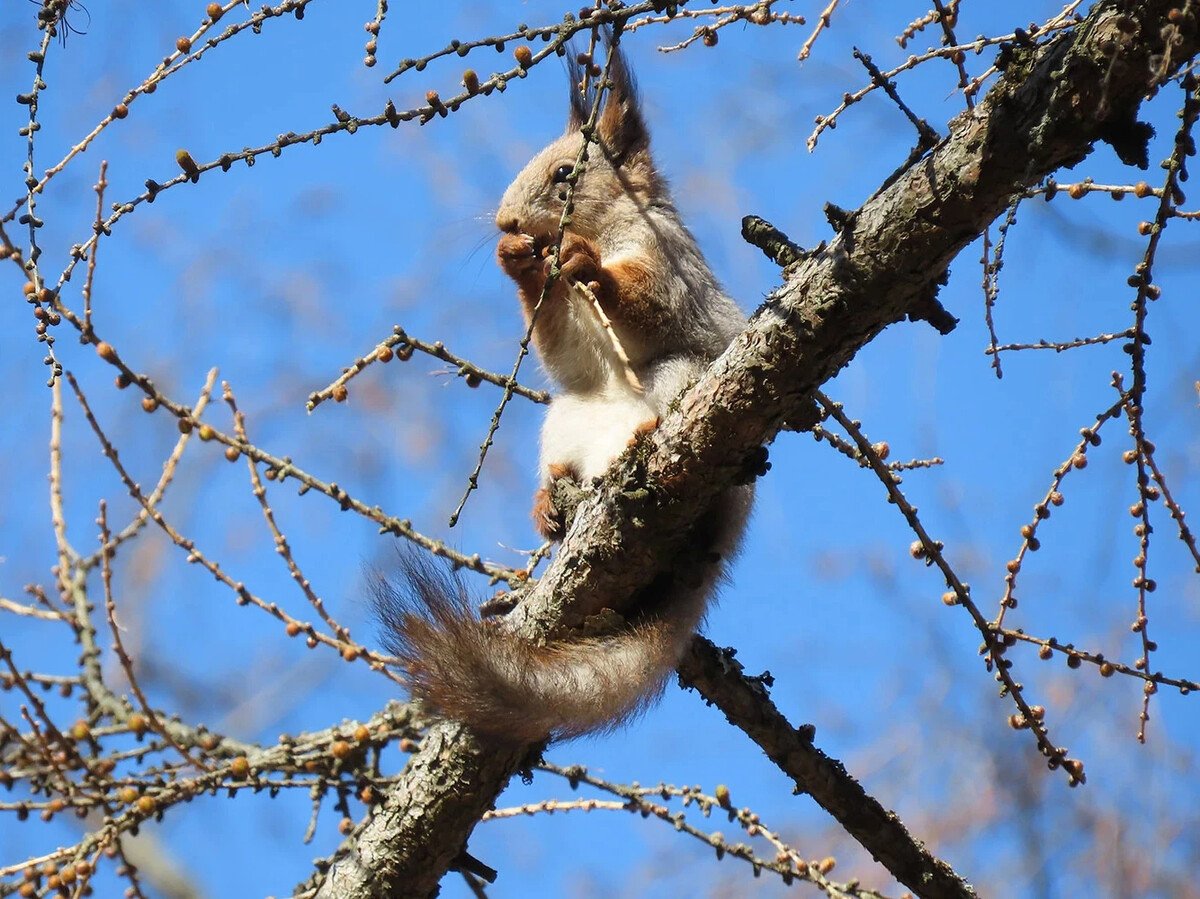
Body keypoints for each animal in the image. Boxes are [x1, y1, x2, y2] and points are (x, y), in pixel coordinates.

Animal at [374, 42, 748, 744]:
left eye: (566, 173)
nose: (505, 221)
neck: (603, 227)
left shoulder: (668, 266)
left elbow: (648, 305)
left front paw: (585, 263)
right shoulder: (566, 336)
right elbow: (561, 346)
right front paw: (516, 260)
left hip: (681, 382)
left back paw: (643, 438)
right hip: (563, 421)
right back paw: (550, 502)